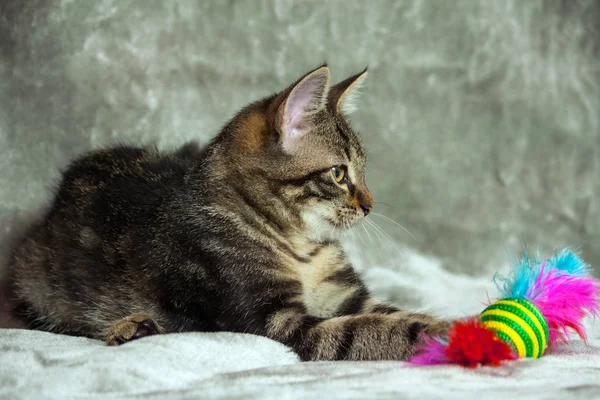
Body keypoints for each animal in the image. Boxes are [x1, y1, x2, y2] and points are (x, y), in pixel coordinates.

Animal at [9, 65, 448, 360]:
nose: (369, 205)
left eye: (363, 169)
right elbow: (375, 330)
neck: (301, 248)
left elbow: (391, 315)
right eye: (339, 173)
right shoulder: (272, 323)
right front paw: (448, 330)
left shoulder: (349, 299)